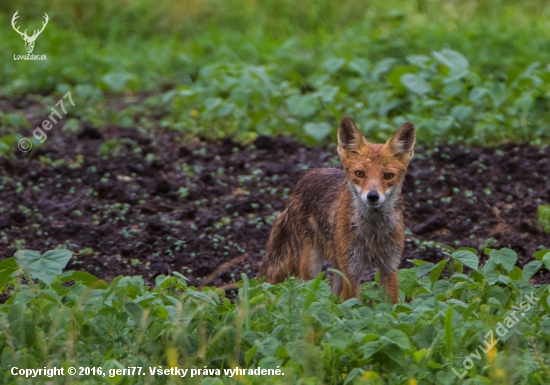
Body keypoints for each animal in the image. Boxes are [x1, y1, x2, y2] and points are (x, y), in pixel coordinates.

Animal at [256, 115, 416, 302]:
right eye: (360, 173)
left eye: (388, 176)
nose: (372, 196)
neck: (373, 232)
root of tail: (306, 178)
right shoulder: (352, 270)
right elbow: (352, 303)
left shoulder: (389, 267)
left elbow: (391, 305)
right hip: (313, 264)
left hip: (338, 265)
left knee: (333, 298)